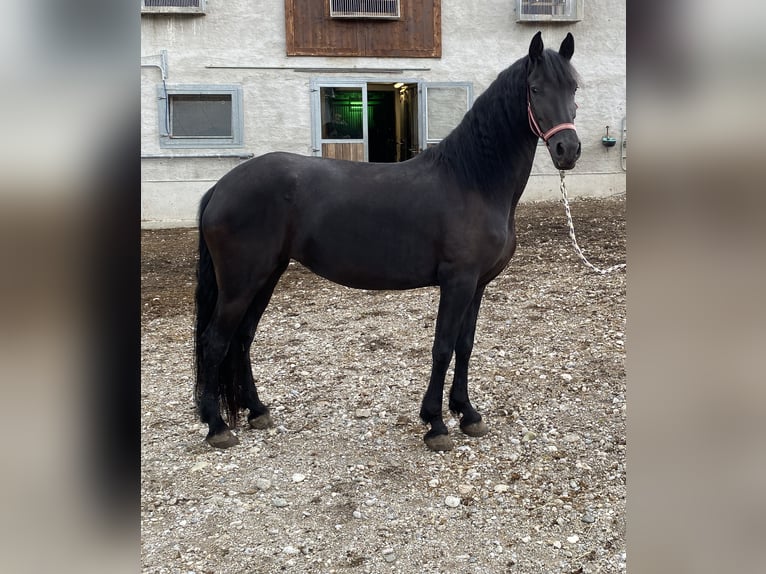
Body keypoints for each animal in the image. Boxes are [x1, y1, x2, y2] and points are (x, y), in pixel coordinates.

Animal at [194, 32, 584, 454]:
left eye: (573, 88)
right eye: (535, 88)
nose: (568, 150)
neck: (473, 180)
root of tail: (220, 187)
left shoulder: (477, 285)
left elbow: (465, 345)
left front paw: (468, 414)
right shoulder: (458, 282)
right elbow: (442, 346)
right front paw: (436, 424)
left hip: (266, 276)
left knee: (242, 339)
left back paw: (256, 411)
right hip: (241, 283)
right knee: (215, 341)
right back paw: (217, 426)